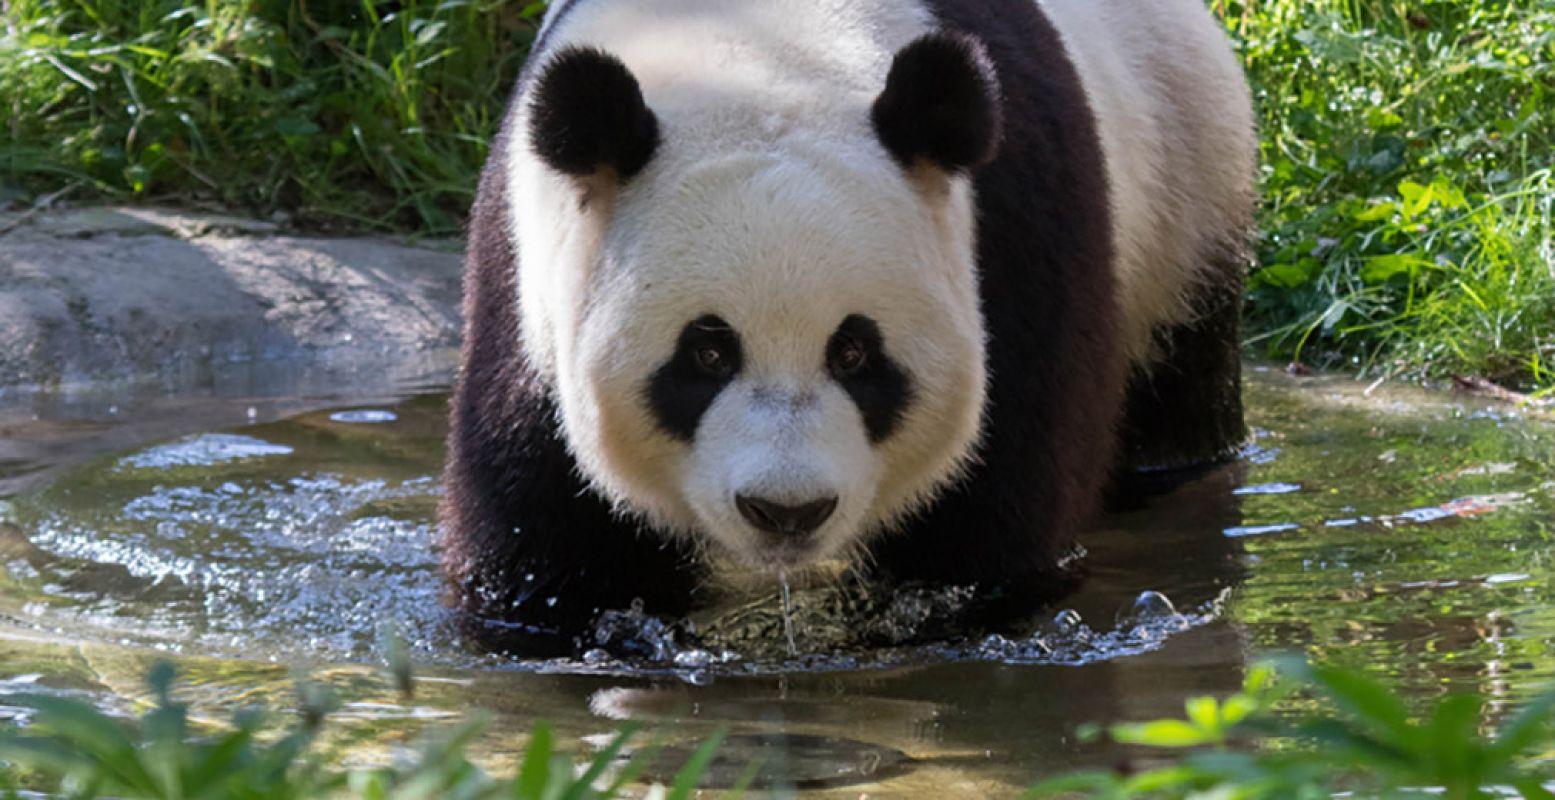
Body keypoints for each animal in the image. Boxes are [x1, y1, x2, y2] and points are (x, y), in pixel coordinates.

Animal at [438, 0, 1250, 644]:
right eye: (706, 356)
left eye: (854, 353)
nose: (786, 511)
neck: (758, 52)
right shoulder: (534, 275)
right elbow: (545, 524)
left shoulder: (1015, 234)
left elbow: (997, 497)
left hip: (1186, 192)